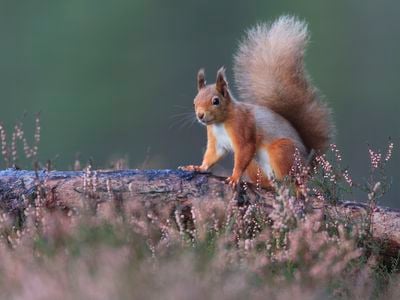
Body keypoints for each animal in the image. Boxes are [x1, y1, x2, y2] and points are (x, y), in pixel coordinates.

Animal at [180, 15, 332, 188]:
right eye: (194, 102)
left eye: (216, 101)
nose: (200, 115)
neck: (221, 122)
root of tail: (307, 165)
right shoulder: (216, 140)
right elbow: (212, 155)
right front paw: (198, 167)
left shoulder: (243, 127)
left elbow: (244, 151)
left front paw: (234, 177)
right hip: (255, 166)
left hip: (282, 151)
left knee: (292, 180)